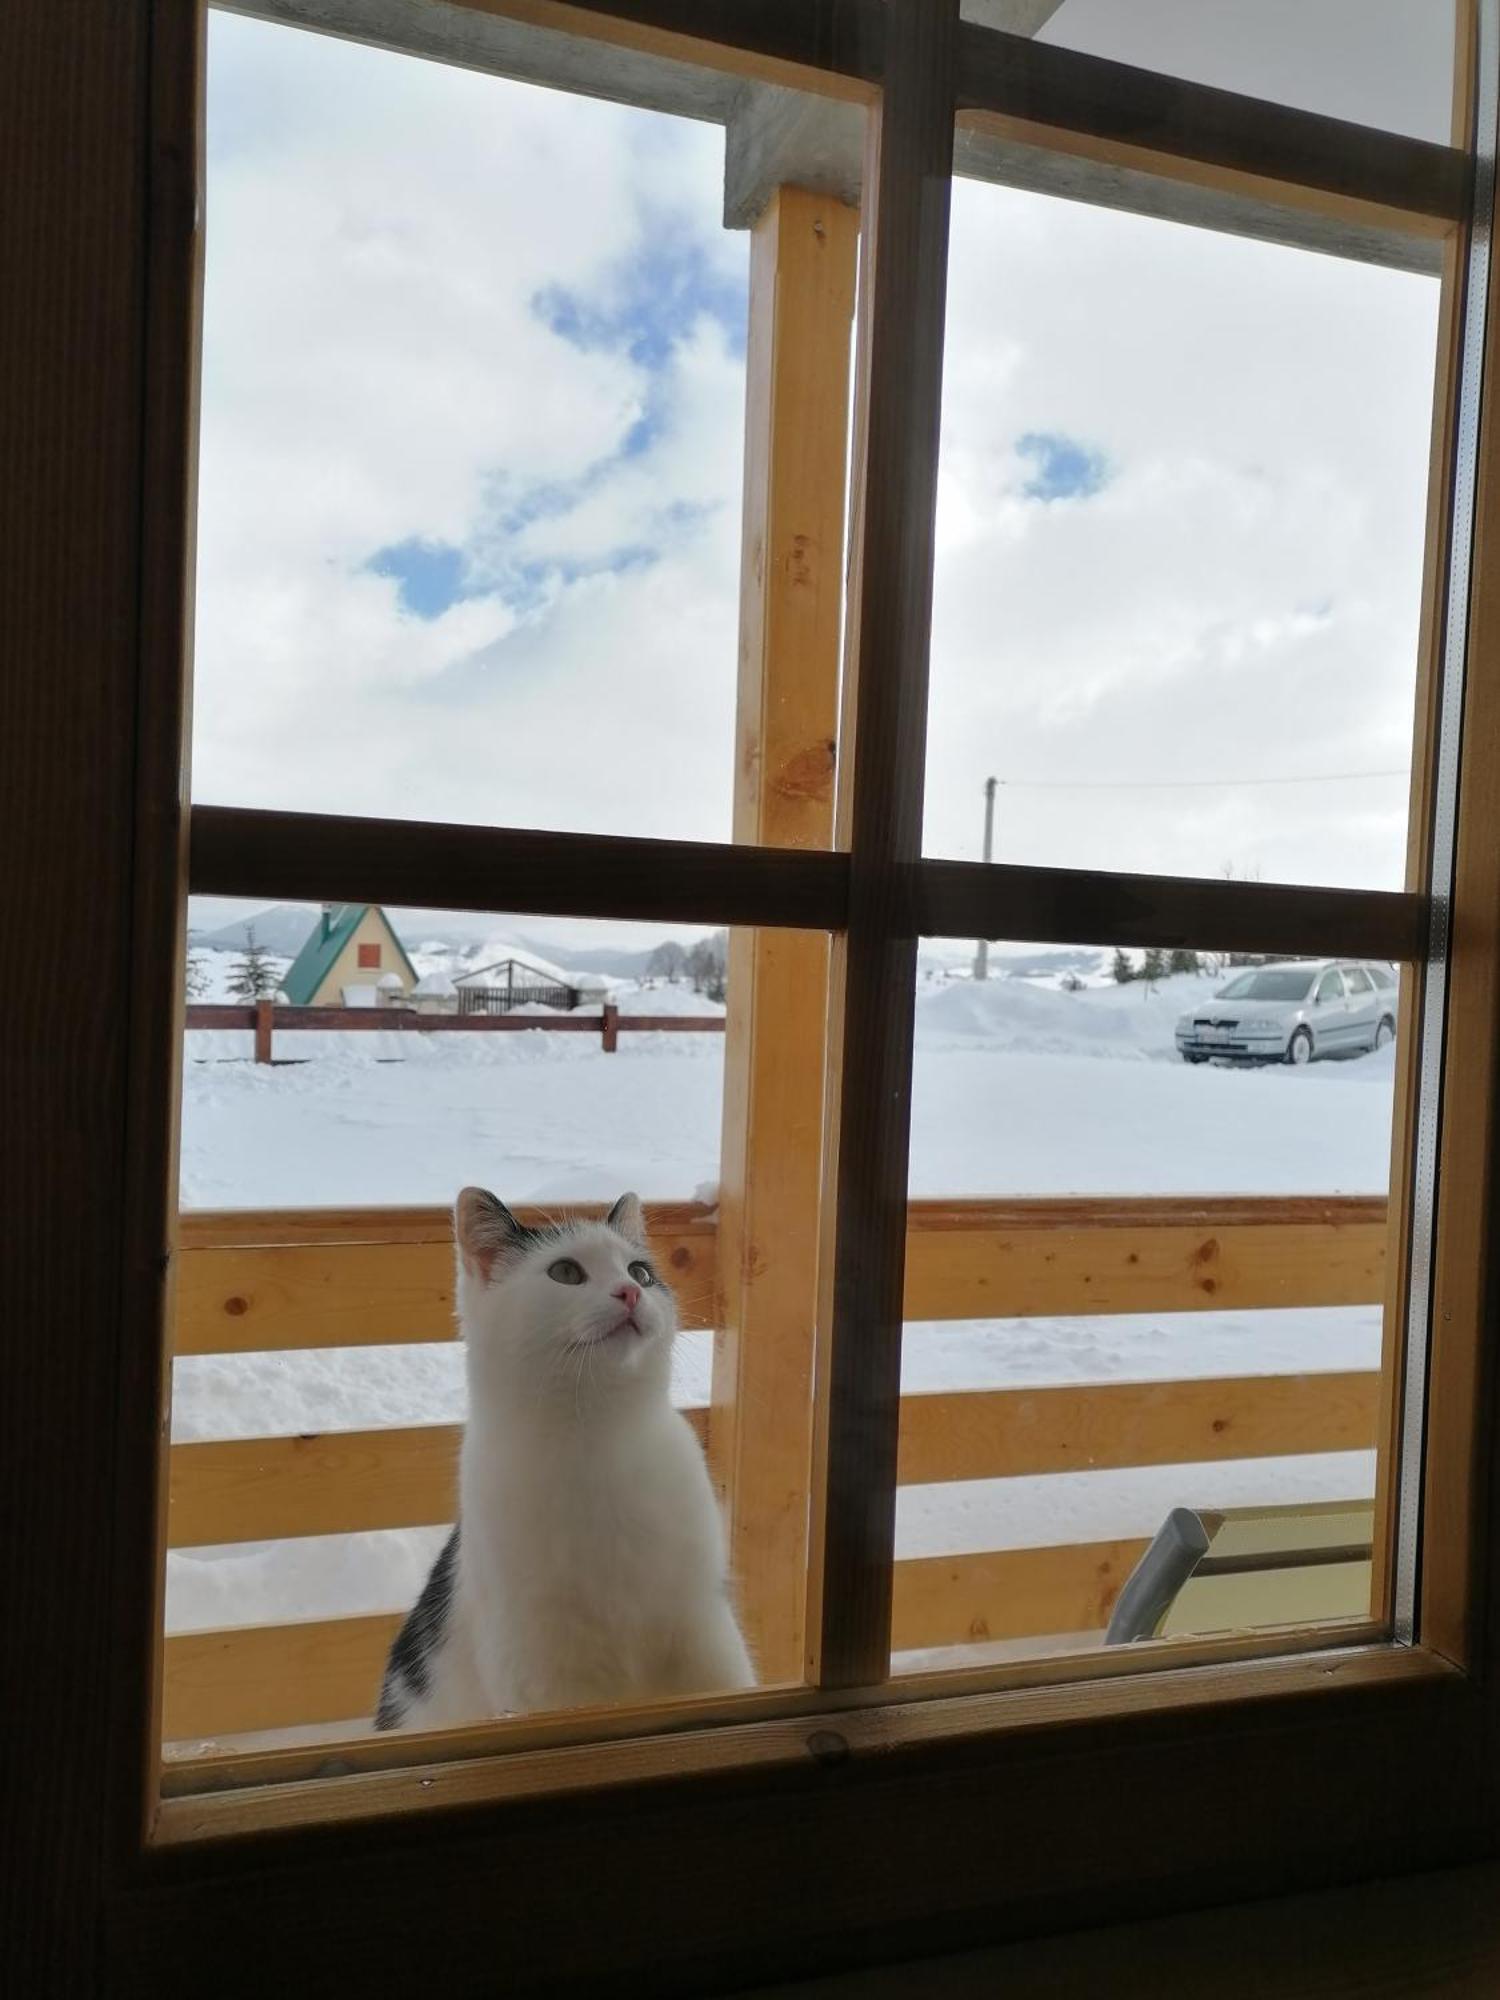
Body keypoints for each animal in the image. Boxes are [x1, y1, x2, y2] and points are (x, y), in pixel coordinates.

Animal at [376, 1184, 752, 1736]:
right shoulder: (546, 1673)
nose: (630, 1292)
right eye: (566, 1273)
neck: (598, 1438)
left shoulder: (705, 1632)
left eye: (640, 1272)